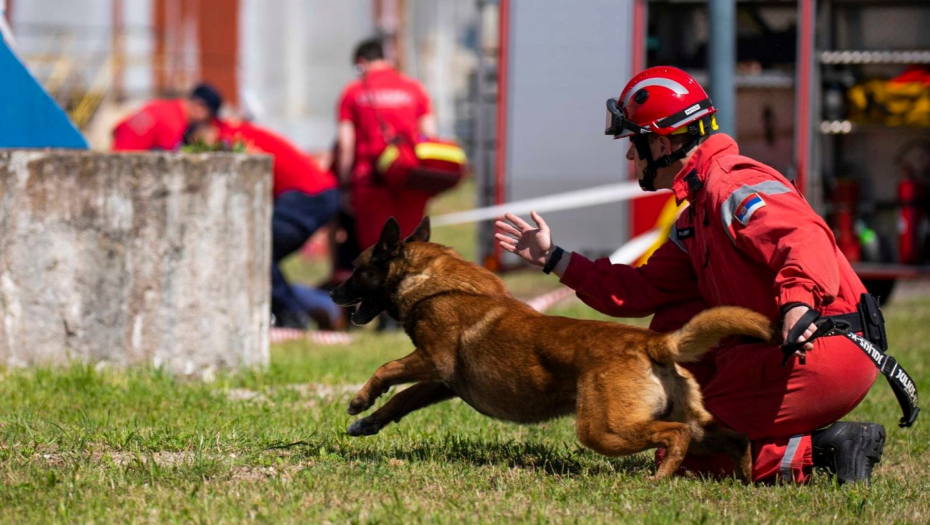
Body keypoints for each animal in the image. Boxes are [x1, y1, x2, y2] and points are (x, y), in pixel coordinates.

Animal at [330, 216, 772, 478]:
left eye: (356, 269)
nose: (333, 293)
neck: (432, 281)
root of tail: (651, 341)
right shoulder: (442, 383)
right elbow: (399, 401)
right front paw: (366, 422)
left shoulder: (432, 361)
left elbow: (386, 369)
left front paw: (359, 400)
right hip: (690, 421)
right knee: (734, 437)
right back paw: (744, 480)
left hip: (603, 429)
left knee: (675, 435)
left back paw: (661, 478)